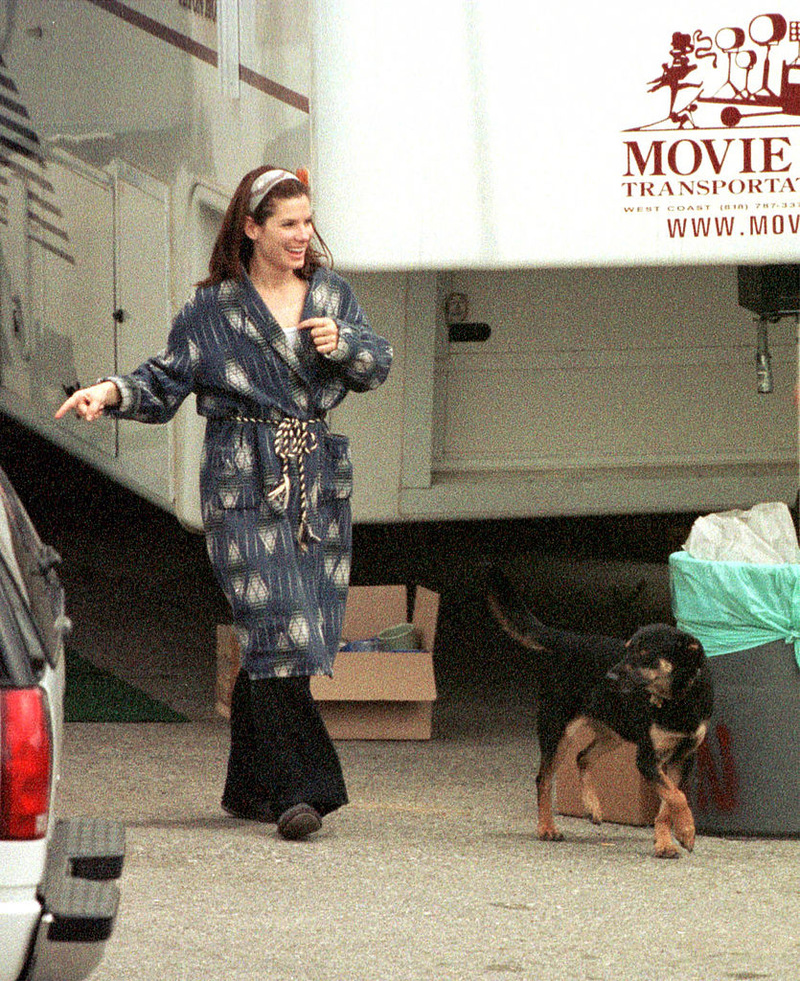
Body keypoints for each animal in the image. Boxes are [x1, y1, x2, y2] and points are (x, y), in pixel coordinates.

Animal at [484, 568, 716, 856]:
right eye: (626, 650)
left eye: (645, 653)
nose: (609, 677)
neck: (677, 699)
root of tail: (567, 638)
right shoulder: (648, 759)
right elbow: (676, 796)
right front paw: (685, 831)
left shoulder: (682, 759)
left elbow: (667, 805)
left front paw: (666, 841)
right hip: (557, 730)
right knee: (543, 779)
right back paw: (547, 828)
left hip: (612, 733)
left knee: (582, 757)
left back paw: (592, 806)